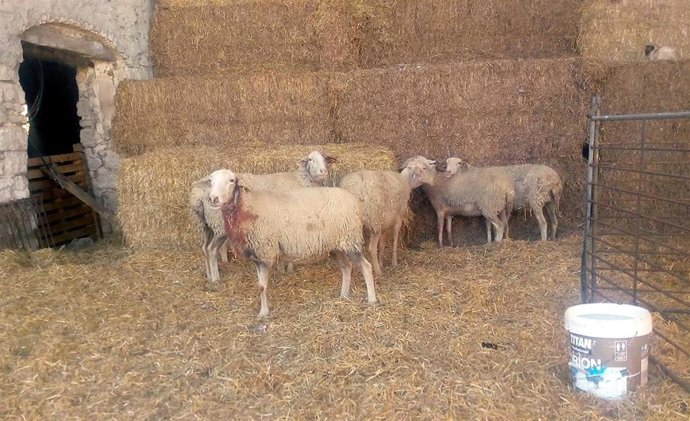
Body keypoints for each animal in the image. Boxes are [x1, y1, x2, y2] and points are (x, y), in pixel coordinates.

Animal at [189, 151, 335, 286]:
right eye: (310, 159)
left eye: (325, 159)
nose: (323, 171)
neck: (300, 179)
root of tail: (200, 194)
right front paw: (288, 268)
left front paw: (281, 268)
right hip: (220, 225)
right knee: (212, 249)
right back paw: (215, 279)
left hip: (207, 225)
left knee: (205, 248)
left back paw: (208, 275)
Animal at [207, 168, 378, 319]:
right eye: (210, 181)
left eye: (231, 180)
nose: (213, 199)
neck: (247, 207)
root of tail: (355, 200)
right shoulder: (257, 255)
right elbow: (260, 286)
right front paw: (263, 312)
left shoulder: (264, 250)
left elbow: (262, 286)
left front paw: (263, 313)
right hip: (337, 245)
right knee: (346, 267)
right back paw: (343, 295)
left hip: (351, 240)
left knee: (366, 266)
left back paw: (372, 299)